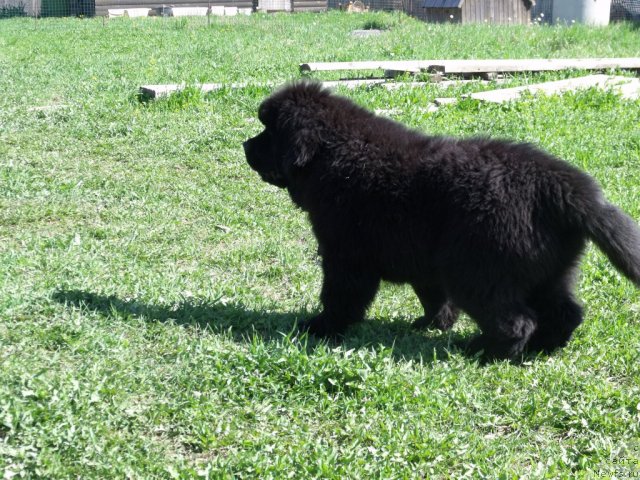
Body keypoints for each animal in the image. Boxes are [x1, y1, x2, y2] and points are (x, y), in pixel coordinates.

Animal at [241, 82, 640, 358]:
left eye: (269, 133)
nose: (245, 145)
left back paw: (484, 351)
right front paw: (433, 324)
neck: (334, 155)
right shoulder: (423, 262)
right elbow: (434, 297)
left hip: (477, 269)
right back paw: (543, 347)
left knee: (515, 321)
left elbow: (340, 295)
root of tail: (567, 187)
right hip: (547, 271)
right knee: (566, 312)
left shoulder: (345, 255)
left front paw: (322, 328)